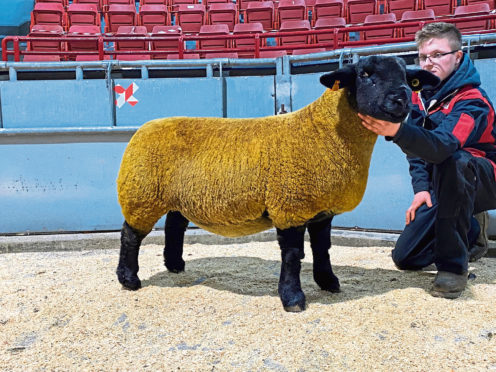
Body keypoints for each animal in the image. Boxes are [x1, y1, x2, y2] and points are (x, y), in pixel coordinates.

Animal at [115, 55, 438, 310]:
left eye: (407, 78)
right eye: (365, 75)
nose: (401, 99)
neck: (324, 132)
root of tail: (144, 128)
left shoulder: (322, 211)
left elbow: (322, 248)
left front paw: (328, 282)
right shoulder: (290, 205)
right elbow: (293, 255)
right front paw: (293, 298)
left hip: (178, 197)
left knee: (174, 226)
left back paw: (175, 266)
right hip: (141, 193)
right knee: (130, 235)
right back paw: (129, 279)